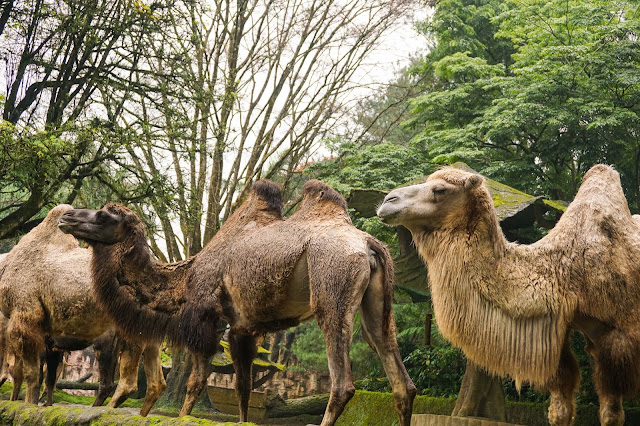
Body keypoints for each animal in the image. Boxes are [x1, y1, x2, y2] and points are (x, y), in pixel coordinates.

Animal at [0, 205, 168, 414]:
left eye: (103, 216)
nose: (68, 217)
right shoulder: (50, 342)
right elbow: (44, 378)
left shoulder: (25, 319)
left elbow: (29, 375)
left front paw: (28, 407)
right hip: (150, 339)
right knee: (155, 383)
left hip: (122, 336)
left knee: (124, 383)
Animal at [57, 180, 418, 426]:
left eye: (104, 216)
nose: (67, 217)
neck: (183, 278)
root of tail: (369, 245)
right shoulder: (243, 328)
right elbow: (243, 387)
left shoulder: (206, 318)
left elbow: (195, 383)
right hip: (379, 298)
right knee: (393, 364)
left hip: (332, 285)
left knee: (342, 382)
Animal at [378, 166, 640, 426]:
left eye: (440, 190)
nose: (388, 200)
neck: (563, 273)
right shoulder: (558, 331)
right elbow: (560, 410)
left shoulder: (615, 334)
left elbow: (610, 415)